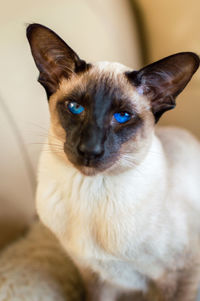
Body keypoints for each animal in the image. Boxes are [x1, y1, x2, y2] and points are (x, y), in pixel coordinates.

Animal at [26, 24, 200, 300]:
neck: (89, 192)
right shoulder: (95, 278)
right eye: (75, 107)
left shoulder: (184, 273)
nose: (90, 149)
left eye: (122, 116)